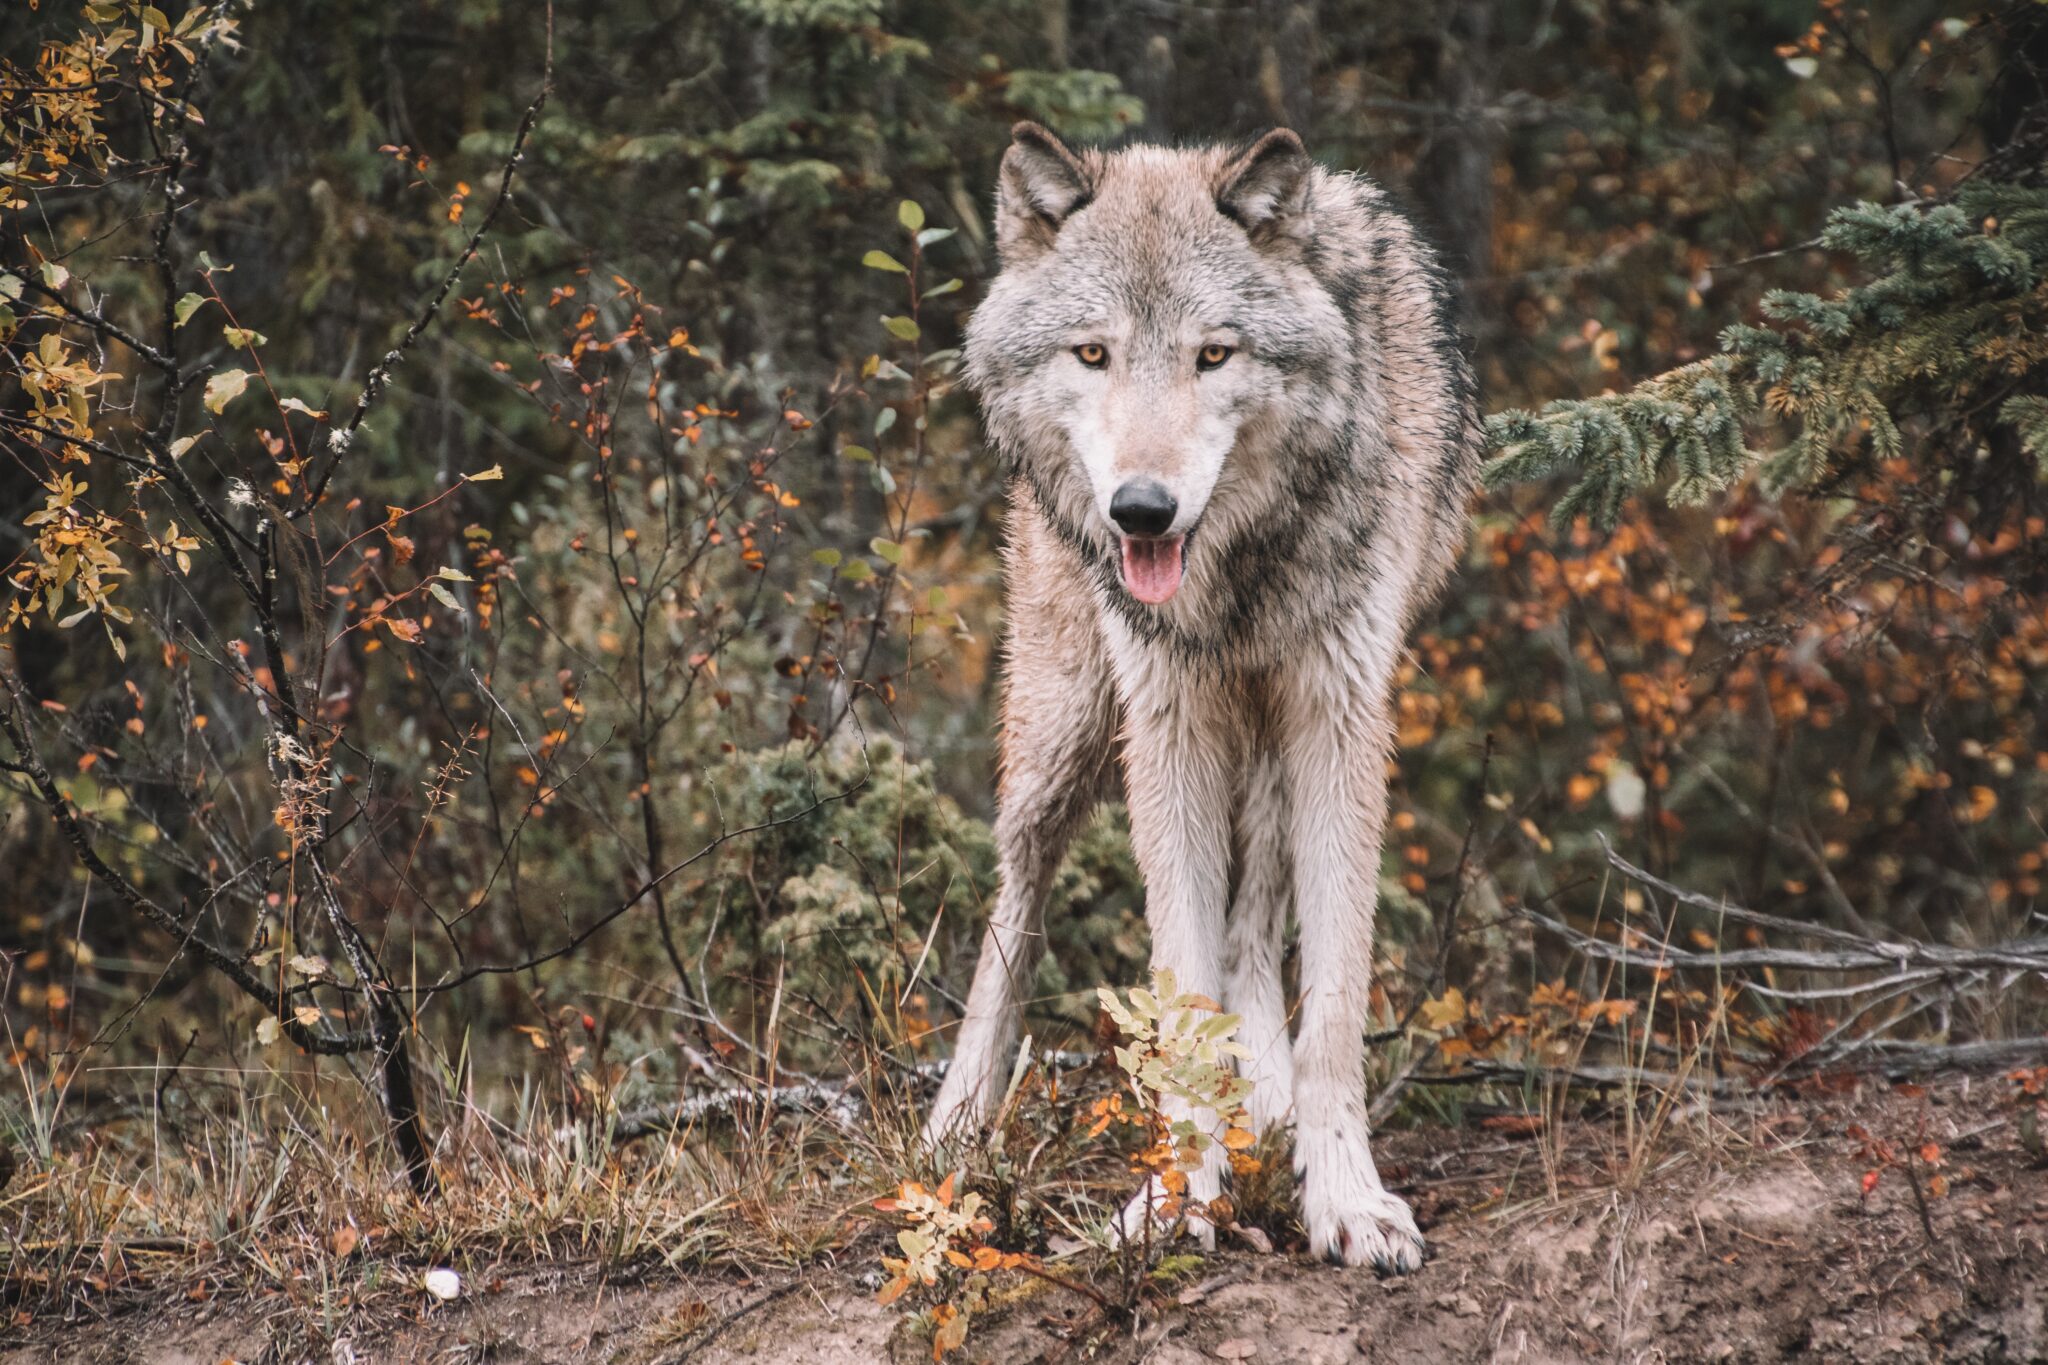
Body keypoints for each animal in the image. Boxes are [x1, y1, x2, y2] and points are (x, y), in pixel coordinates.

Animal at [925, 122, 1474, 1277]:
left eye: (1212, 355)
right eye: (1092, 354)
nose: (1141, 509)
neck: (1239, 568)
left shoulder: (1341, 713)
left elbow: (1331, 1001)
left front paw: (1346, 1198)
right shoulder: (1166, 720)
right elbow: (1178, 987)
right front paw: (1178, 1202)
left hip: (1262, 739)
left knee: (1257, 917)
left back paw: (1262, 1098)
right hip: (1065, 731)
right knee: (1015, 898)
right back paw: (957, 1123)